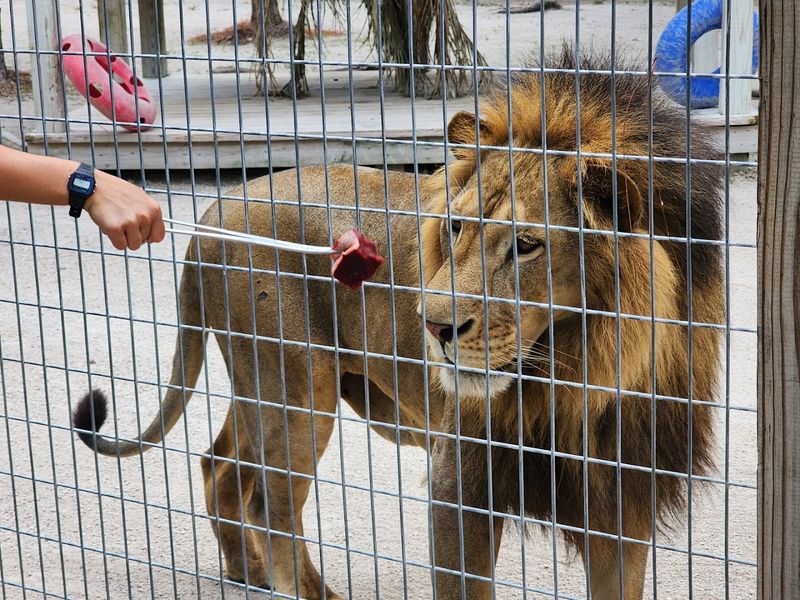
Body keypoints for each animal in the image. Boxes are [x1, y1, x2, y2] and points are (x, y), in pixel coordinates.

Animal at [73, 47, 723, 600]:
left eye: (527, 245)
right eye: (456, 227)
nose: (432, 327)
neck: (581, 373)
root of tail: (209, 215)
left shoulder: (624, 500)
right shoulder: (461, 484)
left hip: (261, 381)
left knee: (223, 468)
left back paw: (246, 573)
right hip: (294, 389)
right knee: (271, 505)